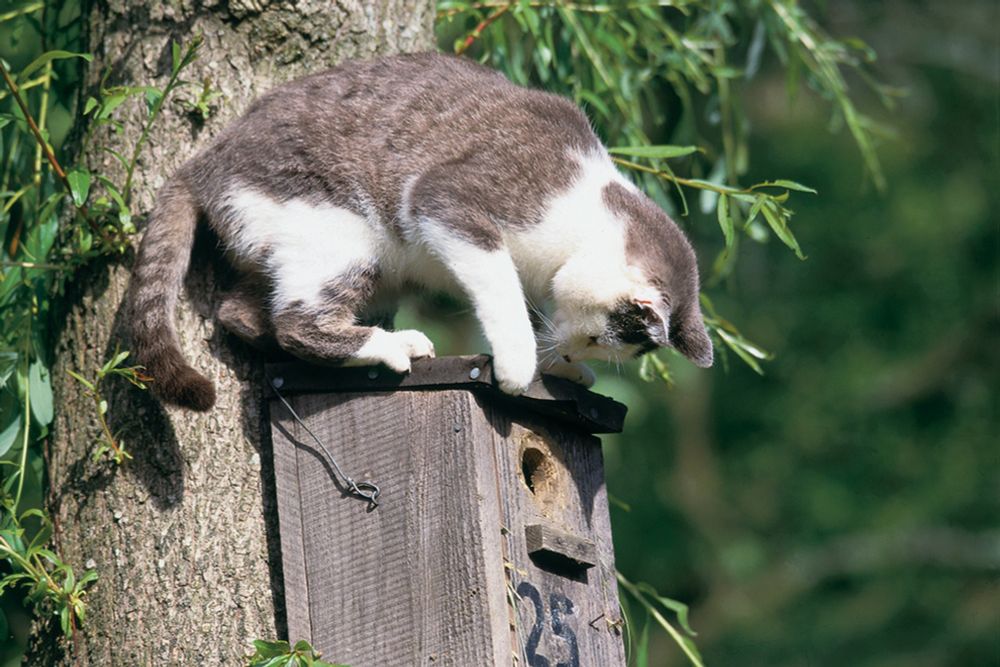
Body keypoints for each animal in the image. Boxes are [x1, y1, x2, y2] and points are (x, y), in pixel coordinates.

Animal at [129, 51, 716, 412]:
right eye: (596, 338)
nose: (571, 354)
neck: (587, 209)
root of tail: (203, 163)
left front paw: (561, 370)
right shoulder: (447, 200)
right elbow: (500, 287)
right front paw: (520, 363)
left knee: (243, 314)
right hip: (340, 233)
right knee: (296, 321)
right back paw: (396, 345)